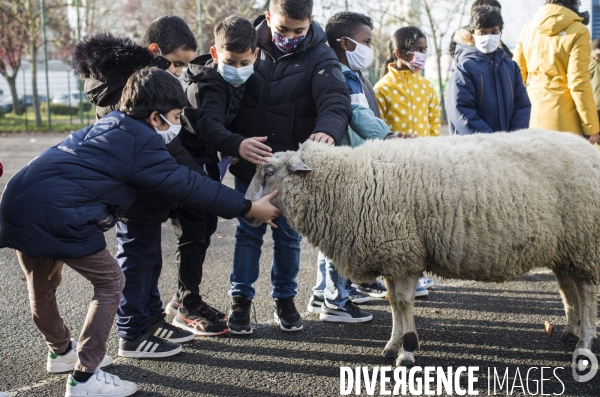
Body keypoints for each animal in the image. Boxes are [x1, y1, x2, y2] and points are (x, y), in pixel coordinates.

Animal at [244, 129, 600, 366]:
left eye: (269, 171)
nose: (247, 208)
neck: (347, 182)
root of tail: (587, 147)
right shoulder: (393, 255)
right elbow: (393, 303)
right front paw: (393, 345)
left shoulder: (403, 254)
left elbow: (403, 303)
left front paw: (407, 351)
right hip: (566, 249)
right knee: (570, 289)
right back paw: (571, 331)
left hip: (585, 241)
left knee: (587, 293)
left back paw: (583, 343)